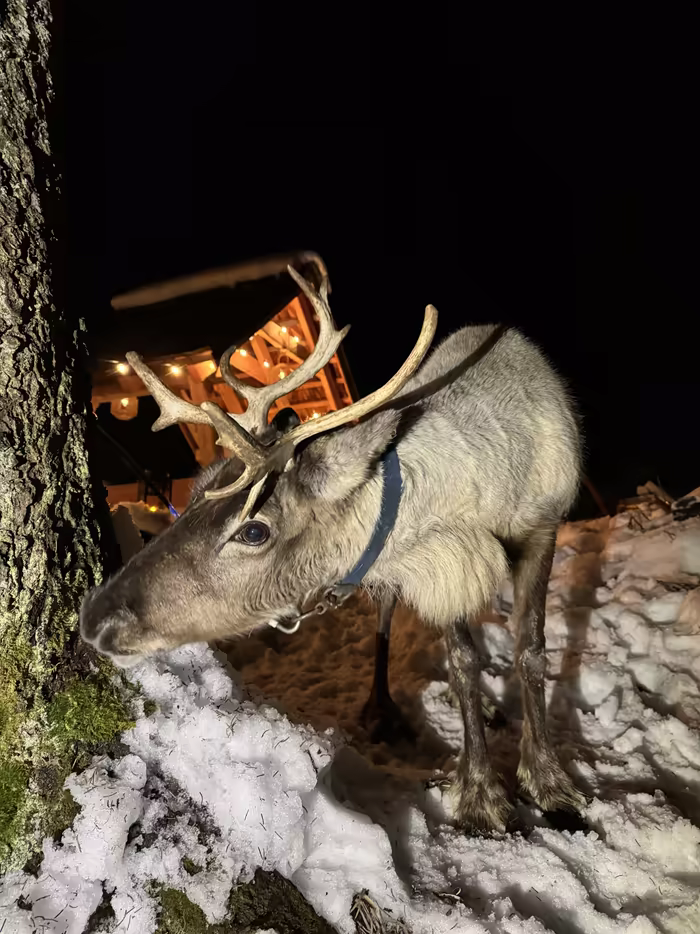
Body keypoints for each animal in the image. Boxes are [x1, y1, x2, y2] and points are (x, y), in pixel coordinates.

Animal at [81, 265, 585, 833]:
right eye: (197, 490)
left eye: (253, 530)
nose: (95, 615)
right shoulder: (440, 573)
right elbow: (462, 660)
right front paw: (480, 792)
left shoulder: (541, 527)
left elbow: (532, 651)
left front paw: (548, 782)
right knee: (386, 620)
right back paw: (382, 709)